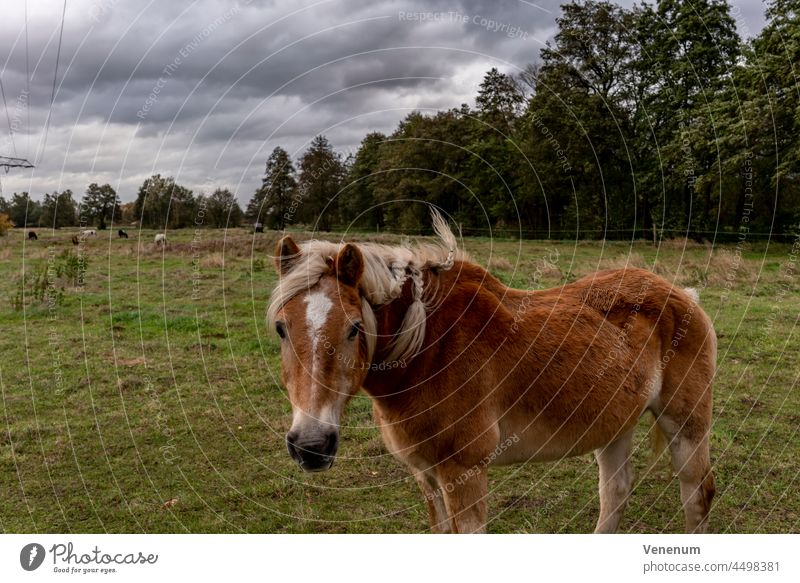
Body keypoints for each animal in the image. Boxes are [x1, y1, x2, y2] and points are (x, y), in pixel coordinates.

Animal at [268, 211, 720, 532]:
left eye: (354, 328)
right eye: (281, 328)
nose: (311, 446)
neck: (427, 349)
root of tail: (684, 296)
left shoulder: (464, 472)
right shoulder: (426, 476)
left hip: (686, 424)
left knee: (697, 495)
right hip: (614, 423)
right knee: (616, 492)